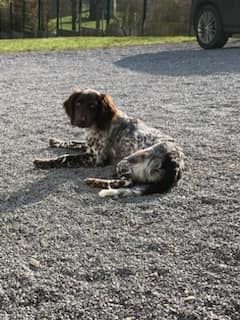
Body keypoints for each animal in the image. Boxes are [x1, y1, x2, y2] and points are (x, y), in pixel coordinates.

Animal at [33, 88, 184, 198]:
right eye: (78, 104)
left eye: (93, 106)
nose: (80, 121)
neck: (99, 123)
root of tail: (176, 162)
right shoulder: (89, 147)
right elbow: (72, 142)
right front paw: (55, 142)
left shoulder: (96, 158)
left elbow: (65, 157)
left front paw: (42, 162)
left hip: (127, 160)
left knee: (126, 182)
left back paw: (94, 181)